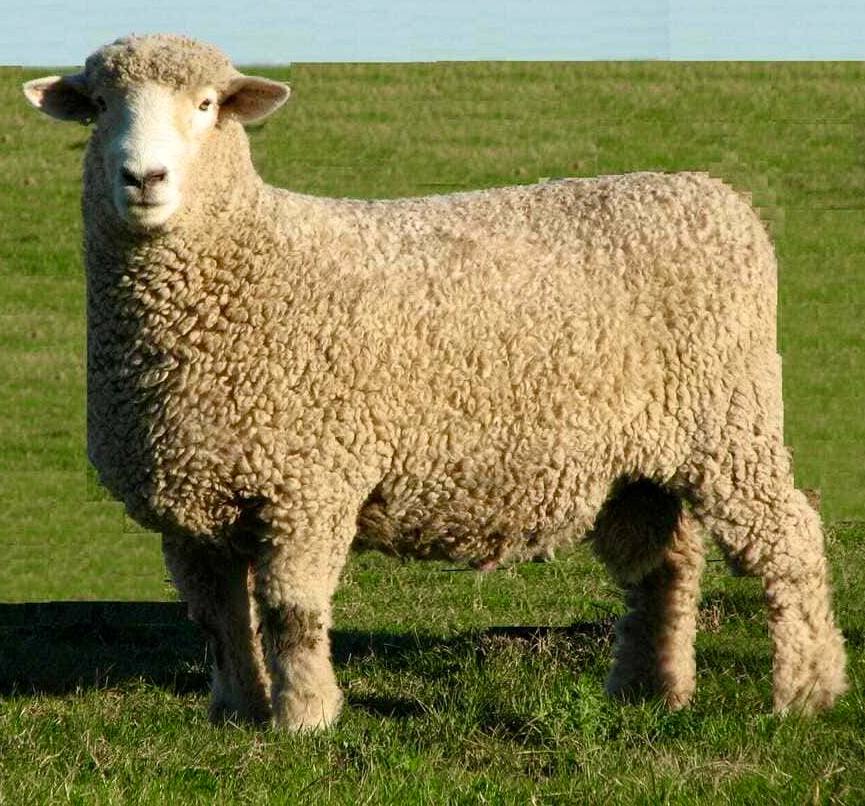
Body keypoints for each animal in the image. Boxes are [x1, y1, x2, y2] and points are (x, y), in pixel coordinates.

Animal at [23, 33, 847, 730]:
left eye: (205, 105)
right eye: (100, 107)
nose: (144, 178)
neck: (241, 269)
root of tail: (714, 194)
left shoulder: (311, 483)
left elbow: (292, 610)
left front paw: (304, 719)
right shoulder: (191, 503)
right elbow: (219, 618)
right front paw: (236, 711)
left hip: (729, 424)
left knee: (788, 541)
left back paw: (806, 691)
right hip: (639, 458)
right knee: (663, 568)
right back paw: (650, 691)